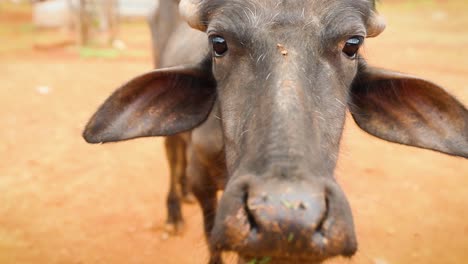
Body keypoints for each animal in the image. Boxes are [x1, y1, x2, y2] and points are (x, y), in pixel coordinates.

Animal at [82, 1, 466, 262]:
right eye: (218, 43)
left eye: (352, 44)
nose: (286, 219)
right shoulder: (203, 180)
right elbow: (210, 234)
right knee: (173, 159)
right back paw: (174, 213)